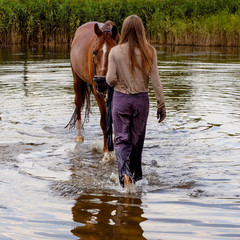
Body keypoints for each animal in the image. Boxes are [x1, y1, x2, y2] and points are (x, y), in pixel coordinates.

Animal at [66, 21, 119, 163]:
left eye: (113, 52)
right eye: (94, 52)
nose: (102, 82)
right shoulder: (98, 92)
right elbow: (104, 121)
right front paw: (107, 152)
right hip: (77, 80)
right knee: (78, 103)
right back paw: (79, 135)